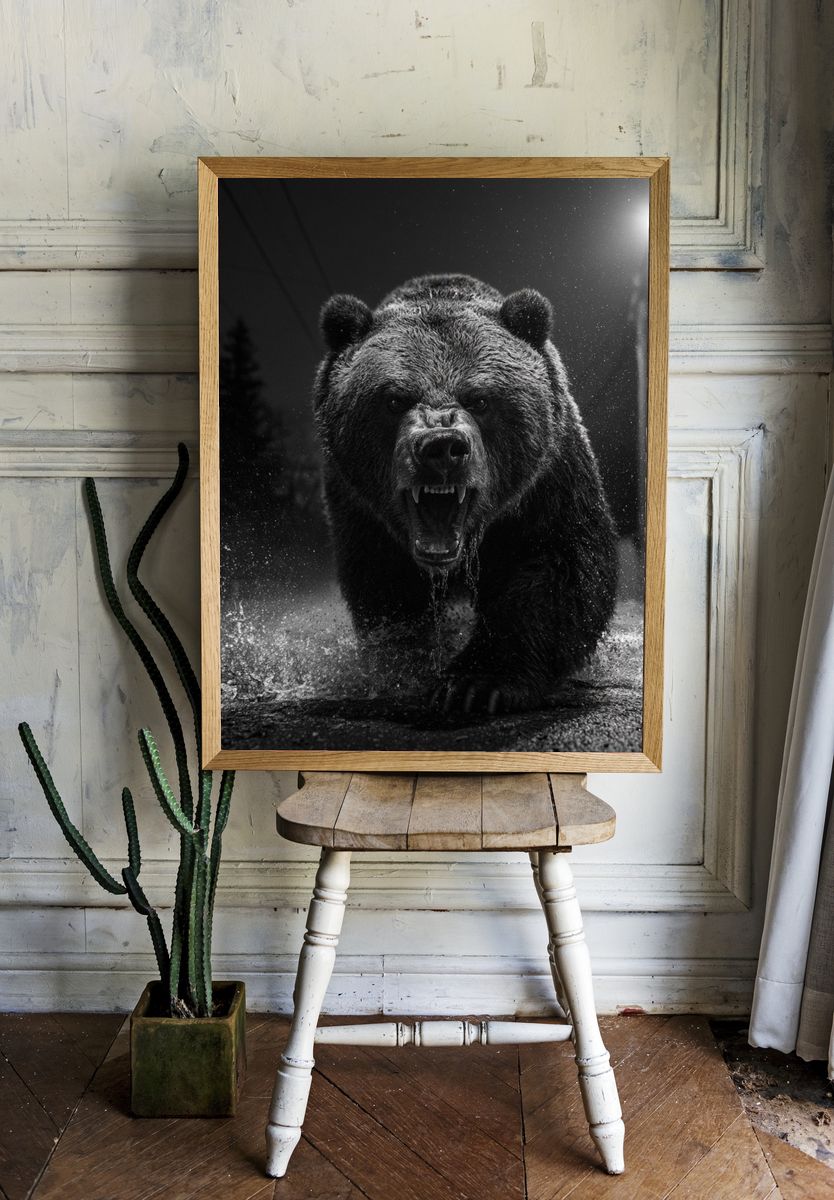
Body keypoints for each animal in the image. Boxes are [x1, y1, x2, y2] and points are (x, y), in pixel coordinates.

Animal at [312, 273, 618, 715]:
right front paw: (406, 671)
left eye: (481, 398)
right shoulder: (359, 508)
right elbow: (387, 590)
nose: (441, 447)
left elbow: (558, 567)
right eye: (394, 398)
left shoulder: (548, 480)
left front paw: (473, 683)